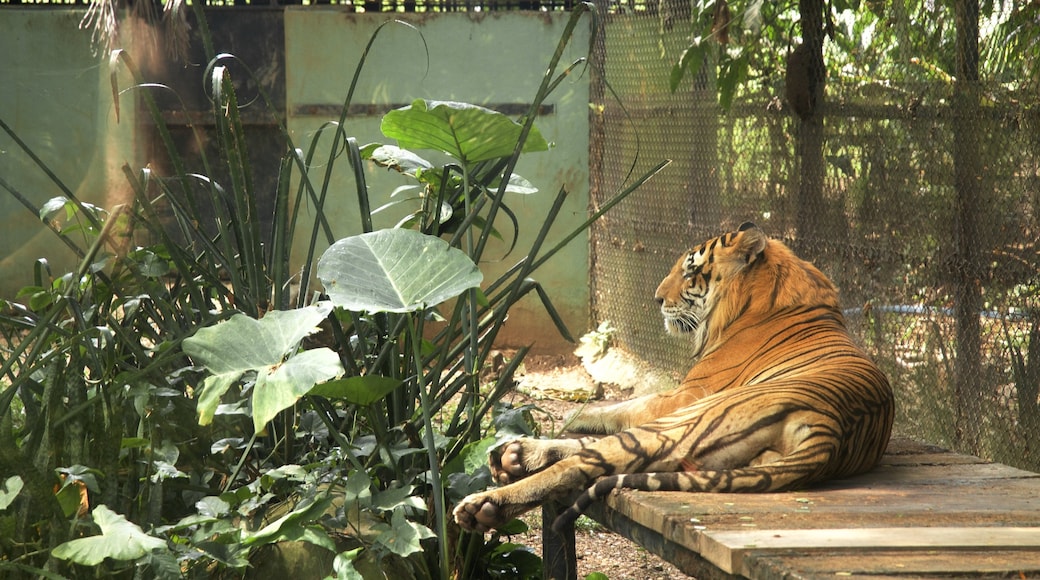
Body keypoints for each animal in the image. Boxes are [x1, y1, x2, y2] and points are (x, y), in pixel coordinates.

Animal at [453, 223, 894, 536]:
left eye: (692, 271)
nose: (656, 299)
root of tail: (830, 428)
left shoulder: (687, 393)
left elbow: (628, 404)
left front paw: (579, 414)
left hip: (682, 422)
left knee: (578, 463)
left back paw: (485, 504)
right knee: (593, 454)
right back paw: (514, 454)